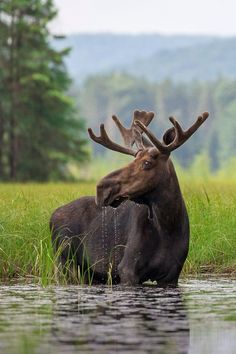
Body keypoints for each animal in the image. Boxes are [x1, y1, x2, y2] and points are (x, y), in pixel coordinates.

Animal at [50, 110, 209, 284]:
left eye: (146, 163)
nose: (101, 188)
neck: (168, 225)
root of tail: (52, 216)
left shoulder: (172, 274)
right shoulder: (127, 269)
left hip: (90, 272)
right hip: (64, 260)